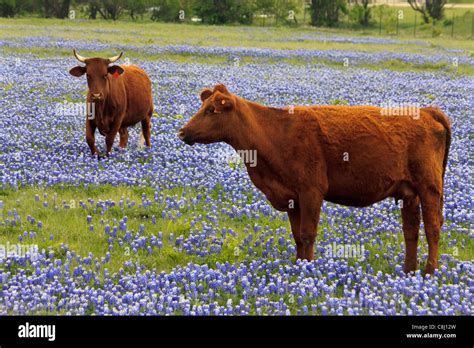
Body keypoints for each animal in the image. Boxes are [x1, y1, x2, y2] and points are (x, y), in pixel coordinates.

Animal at [179, 84, 452, 274]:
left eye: (211, 110)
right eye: (203, 107)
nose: (182, 132)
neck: (276, 133)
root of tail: (427, 111)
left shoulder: (311, 191)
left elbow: (308, 233)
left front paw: (308, 267)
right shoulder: (292, 197)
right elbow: (297, 235)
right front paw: (298, 265)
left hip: (429, 187)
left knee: (432, 227)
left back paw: (429, 272)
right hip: (409, 192)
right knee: (411, 230)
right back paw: (409, 271)